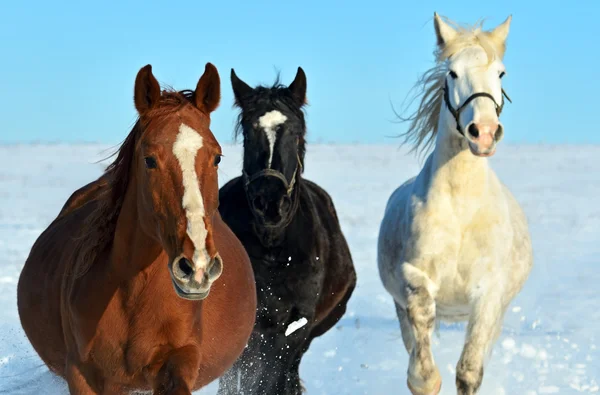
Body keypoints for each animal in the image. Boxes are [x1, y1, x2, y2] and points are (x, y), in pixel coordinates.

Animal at [17, 63, 256, 394]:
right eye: (149, 159)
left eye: (217, 157)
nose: (196, 266)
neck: (133, 295)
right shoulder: (82, 375)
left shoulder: (178, 361)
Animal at [216, 69, 356, 395]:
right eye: (248, 133)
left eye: (295, 132)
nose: (269, 202)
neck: (274, 249)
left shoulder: (294, 329)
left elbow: (273, 381)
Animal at [380, 13, 536, 395]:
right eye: (451, 72)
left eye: (501, 73)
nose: (484, 131)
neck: (462, 210)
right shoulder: (415, 282)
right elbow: (423, 375)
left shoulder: (489, 296)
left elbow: (468, 372)